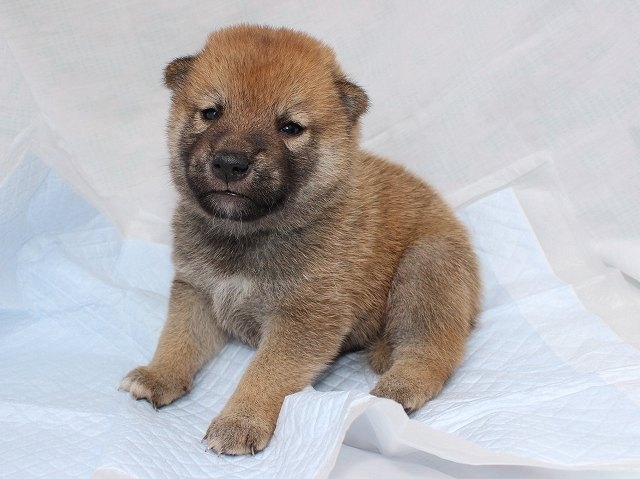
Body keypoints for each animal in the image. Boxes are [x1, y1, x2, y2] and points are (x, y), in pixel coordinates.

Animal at [120, 24, 481, 455]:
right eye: (211, 112)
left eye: (290, 127)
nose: (230, 163)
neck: (248, 236)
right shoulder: (196, 291)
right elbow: (178, 339)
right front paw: (158, 375)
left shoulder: (303, 318)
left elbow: (265, 372)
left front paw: (238, 422)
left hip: (427, 268)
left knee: (432, 349)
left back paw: (400, 385)